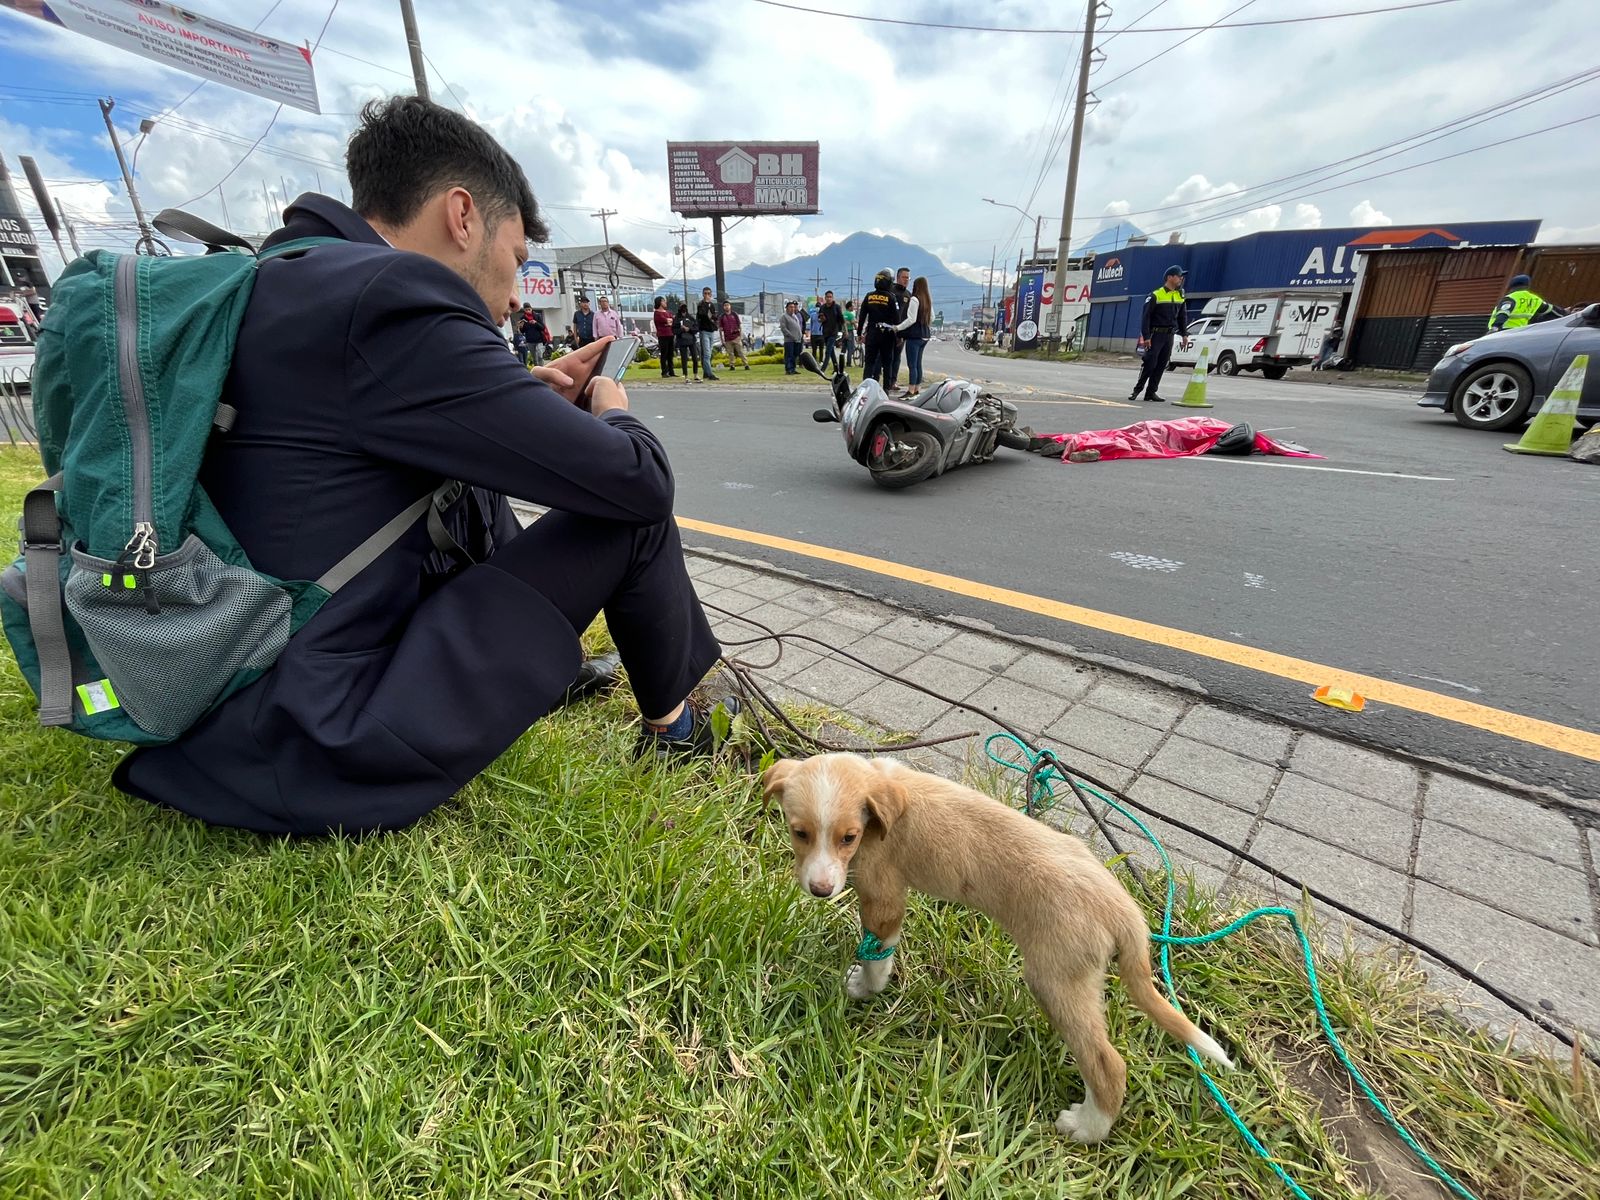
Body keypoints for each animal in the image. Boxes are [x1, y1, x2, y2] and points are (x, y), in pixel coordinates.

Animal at [755, 755, 1228, 1139]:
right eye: (800, 833)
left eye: (848, 838)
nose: (820, 890)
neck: (880, 793)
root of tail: (1123, 908)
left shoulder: (883, 898)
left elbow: (877, 952)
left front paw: (866, 988)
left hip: (1056, 980)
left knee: (1107, 1065)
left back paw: (1087, 1128)